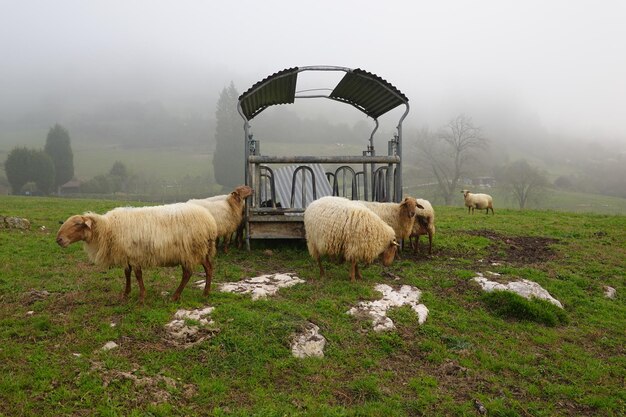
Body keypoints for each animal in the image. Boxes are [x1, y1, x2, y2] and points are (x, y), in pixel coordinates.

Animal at [56, 201, 217, 300]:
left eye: (77, 224)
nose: (59, 240)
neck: (107, 229)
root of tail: (210, 221)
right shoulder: (127, 255)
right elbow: (127, 273)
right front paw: (126, 293)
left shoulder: (135, 254)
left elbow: (138, 275)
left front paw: (141, 297)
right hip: (200, 250)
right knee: (208, 268)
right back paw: (206, 292)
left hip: (191, 250)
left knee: (188, 273)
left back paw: (175, 296)